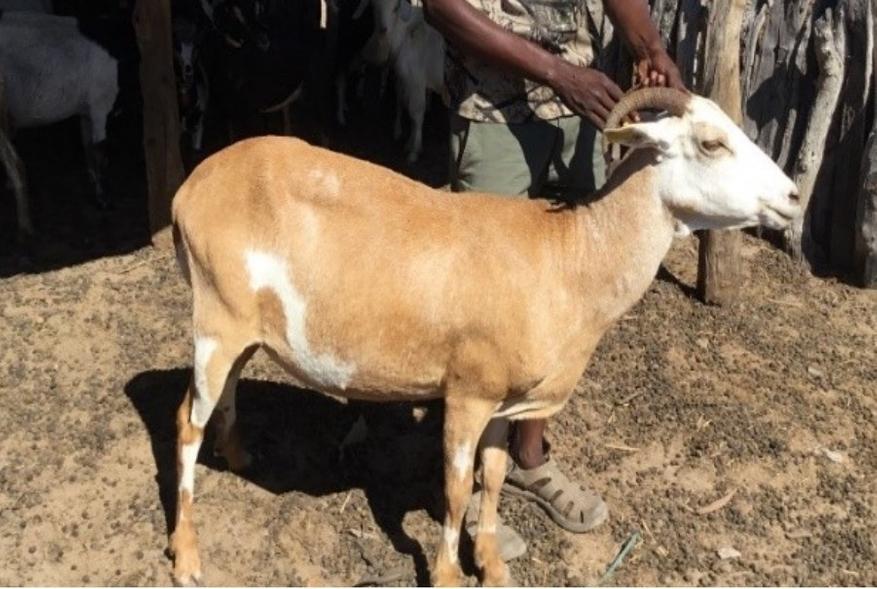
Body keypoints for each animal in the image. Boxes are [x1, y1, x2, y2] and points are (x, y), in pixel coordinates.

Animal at [168, 87, 800, 586]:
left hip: (245, 328)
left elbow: (492, 476)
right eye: (712, 144)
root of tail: (190, 189)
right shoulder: (468, 393)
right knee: (185, 423)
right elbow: (454, 487)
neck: (569, 257)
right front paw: (448, 574)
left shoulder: (505, 400)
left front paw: (493, 565)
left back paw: (238, 456)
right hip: (215, 320)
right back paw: (187, 556)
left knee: (225, 393)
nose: (793, 198)